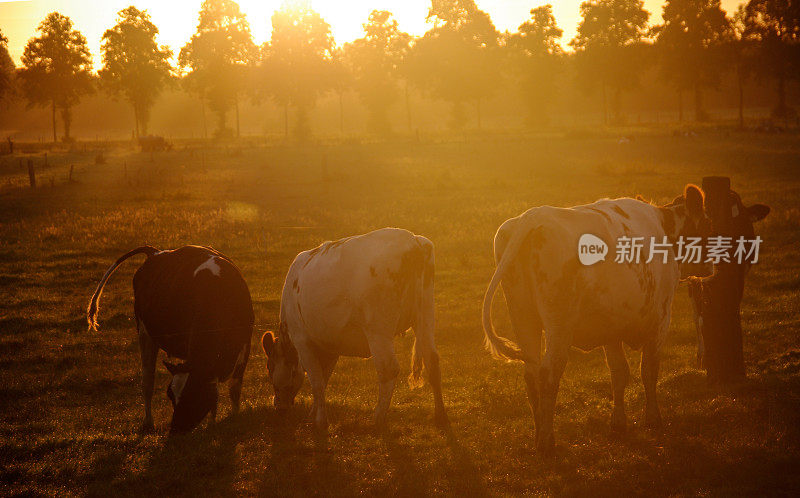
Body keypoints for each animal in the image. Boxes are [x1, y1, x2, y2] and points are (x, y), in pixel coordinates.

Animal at [86, 247, 253, 434]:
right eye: (170, 395)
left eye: (194, 394)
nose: (175, 430)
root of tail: (155, 252)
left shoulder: (245, 344)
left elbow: (232, 389)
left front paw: (229, 420)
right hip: (145, 333)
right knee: (147, 380)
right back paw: (148, 422)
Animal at [262, 228, 450, 430]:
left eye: (270, 367)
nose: (278, 406)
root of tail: (412, 240)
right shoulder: (330, 344)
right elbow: (323, 378)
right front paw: (313, 412)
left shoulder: (302, 340)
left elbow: (317, 381)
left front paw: (320, 420)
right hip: (425, 316)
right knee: (432, 361)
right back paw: (440, 416)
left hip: (378, 330)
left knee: (388, 368)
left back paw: (378, 418)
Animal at [484, 185, 708, 454]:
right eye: (707, 225)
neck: (665, 228)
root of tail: (534, 215)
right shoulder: (660, 321)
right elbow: (648, 371)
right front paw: (653, 419)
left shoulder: (611, 328)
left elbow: (620, 373)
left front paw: (619, 422)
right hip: (558, 325)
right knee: (548, 373)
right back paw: (548, 441)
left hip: (523, 317)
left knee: (531, 374)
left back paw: (538, 436)